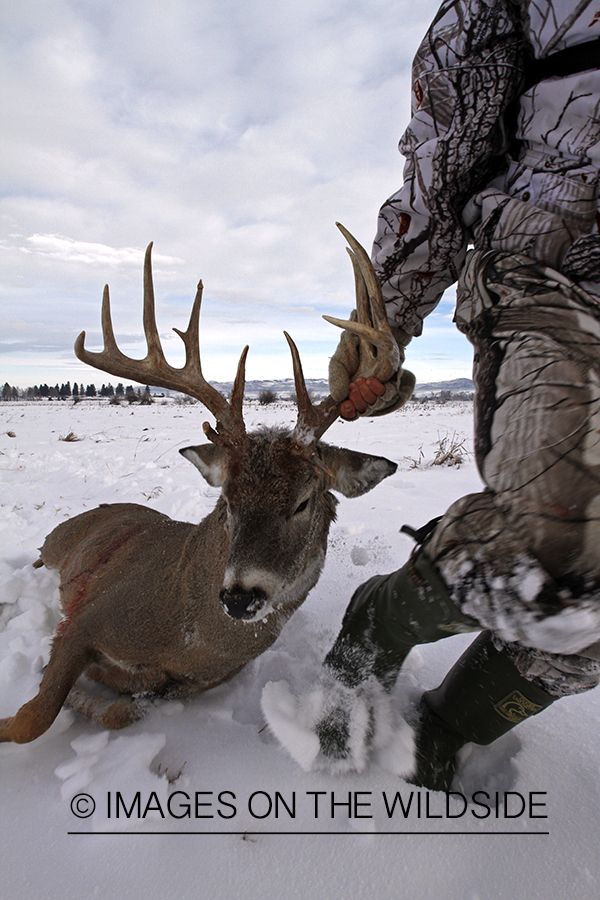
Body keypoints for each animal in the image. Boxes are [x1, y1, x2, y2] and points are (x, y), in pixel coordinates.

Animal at [0, 224, 401, 744]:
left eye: (303, 502)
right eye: (226, 500)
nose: (240, 596)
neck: (185, 637)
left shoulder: (186, 683)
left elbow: (118, 712)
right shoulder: (88, 616)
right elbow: (34, 717)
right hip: (56, 548)